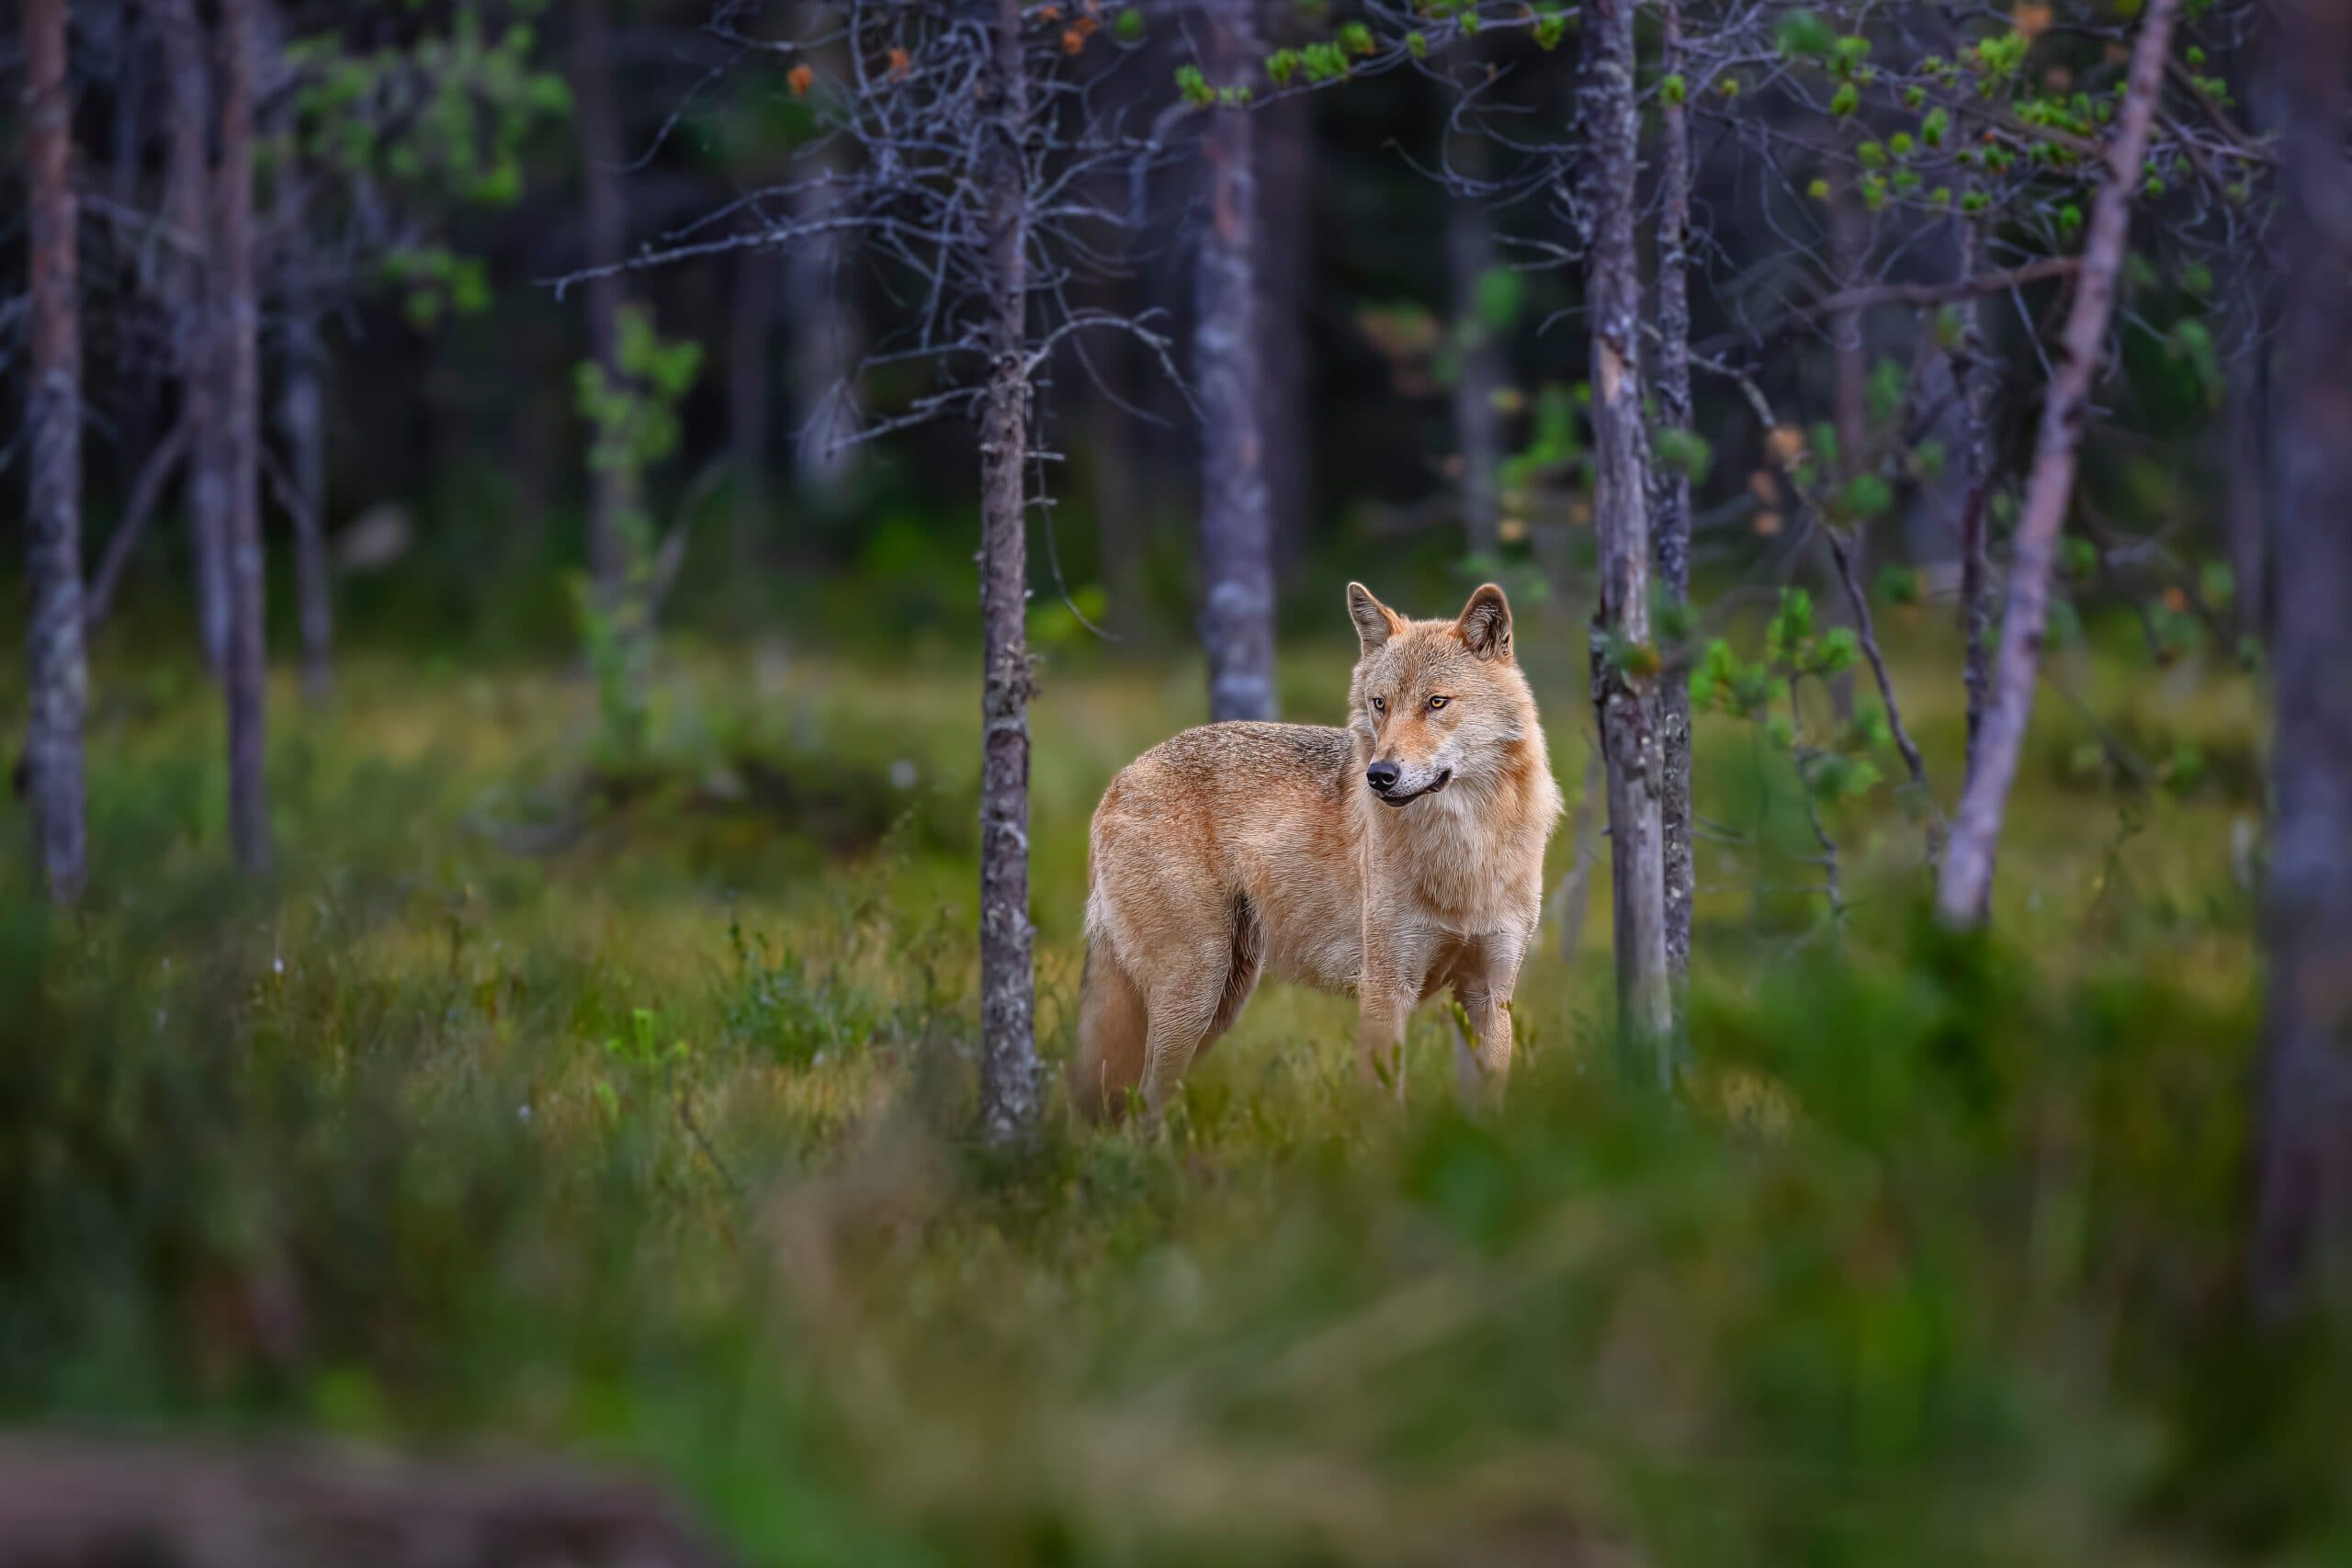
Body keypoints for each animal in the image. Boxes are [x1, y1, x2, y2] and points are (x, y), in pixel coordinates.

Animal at [1073, 582, 1563, 1120]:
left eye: (1436, 703)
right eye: (1379, 703)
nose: (1379, 775)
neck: (1464, 851)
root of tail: (1118, 780)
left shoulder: (1489, 994)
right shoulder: (1385, 991)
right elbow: (1385, 1109)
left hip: (1219, 1004)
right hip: (1195, 995)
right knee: (1143, 1105)